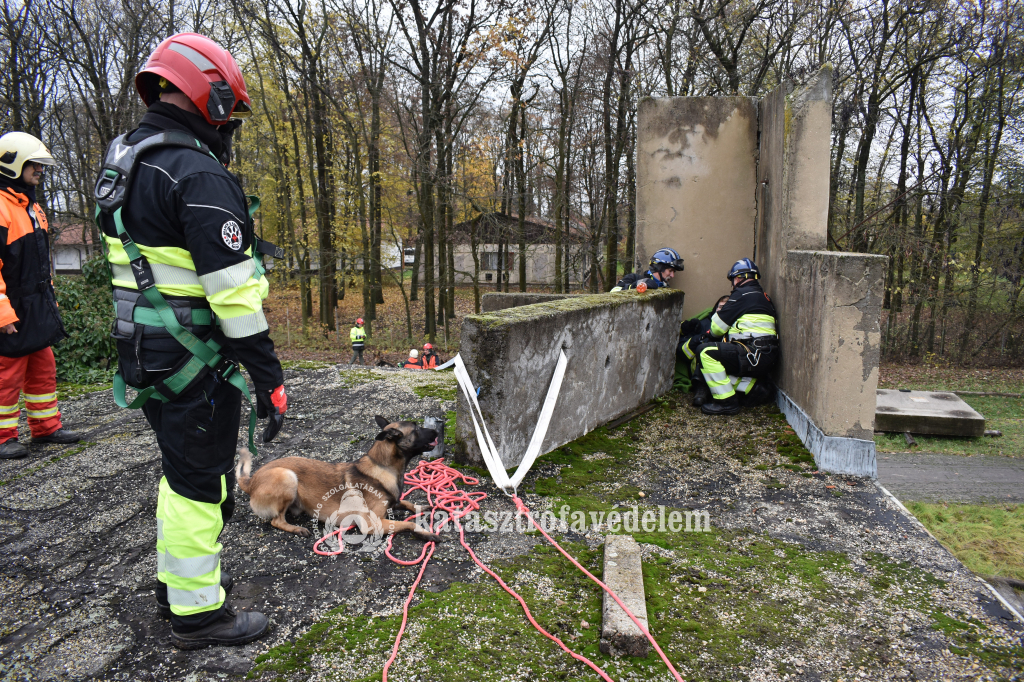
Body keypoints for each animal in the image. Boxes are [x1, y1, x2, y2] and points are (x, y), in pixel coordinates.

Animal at [237, 413, 442, 540]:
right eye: (416, 429)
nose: (437, 431)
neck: (382, 466)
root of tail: (250, 482)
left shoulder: (393, 502)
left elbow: (405, 502)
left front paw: (420, 506)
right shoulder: (372, 523)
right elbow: (407, 523)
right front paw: (425, 532)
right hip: (287, 476)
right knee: (276, 520)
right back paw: (297, 529)